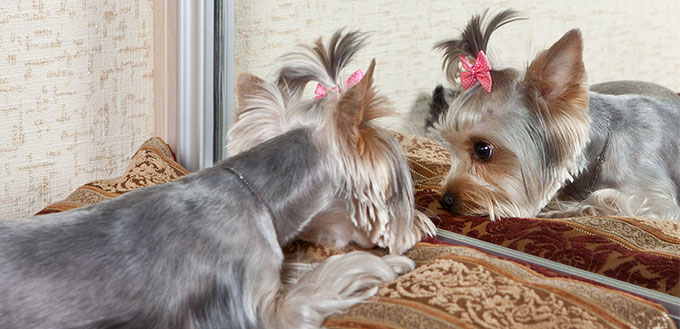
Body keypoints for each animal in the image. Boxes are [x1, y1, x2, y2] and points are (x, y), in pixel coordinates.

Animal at [0, 30, 430, 328]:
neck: (255, 193)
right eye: (403, 193)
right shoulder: (257, 309)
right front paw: (388, 265)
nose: (421, 229)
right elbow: (327, 278)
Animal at [424, 10, 680, 220]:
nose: (446, 201)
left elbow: (604, 196)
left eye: (483, 150)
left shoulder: (658, 201)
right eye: (449, 147)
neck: (600, 154)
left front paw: (564, 208)